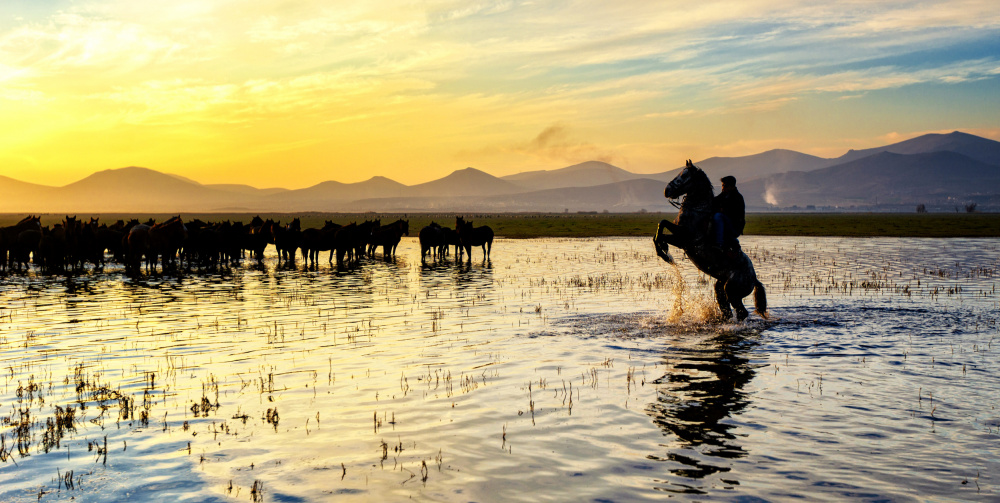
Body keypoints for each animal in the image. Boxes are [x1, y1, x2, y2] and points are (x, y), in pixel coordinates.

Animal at [653, 160, 767, 321]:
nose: (666, 190)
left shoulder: (683, 239)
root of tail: (754, 279)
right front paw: (663, 250)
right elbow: (660, 227)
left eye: (684, 175)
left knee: (741, 312)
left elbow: (662, 228)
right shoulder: (679, 234)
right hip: (720, 285)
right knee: (726, 309)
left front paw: (664, 253)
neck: (697, 210)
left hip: (732, 290)